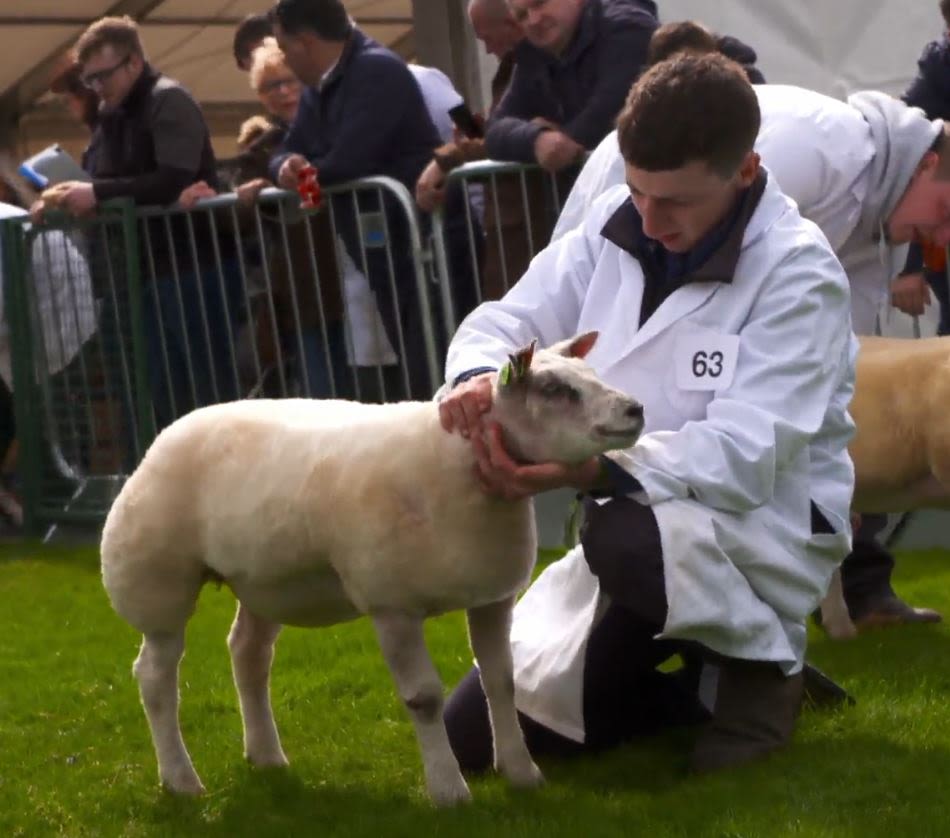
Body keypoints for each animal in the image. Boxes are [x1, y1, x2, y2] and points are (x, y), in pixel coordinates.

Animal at [100, 334, 644, 808]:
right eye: (555, 390)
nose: (635, 410)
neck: (456, 468)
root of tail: (174, 426)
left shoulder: (492, 596)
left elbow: (502, 681)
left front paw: (522, 773)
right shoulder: (392, 605)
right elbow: (424, 698)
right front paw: (448, 791)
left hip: (266, 582)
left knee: (248, 655)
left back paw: (267, 756)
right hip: (157, 582)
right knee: (155, 676)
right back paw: (181, 781)